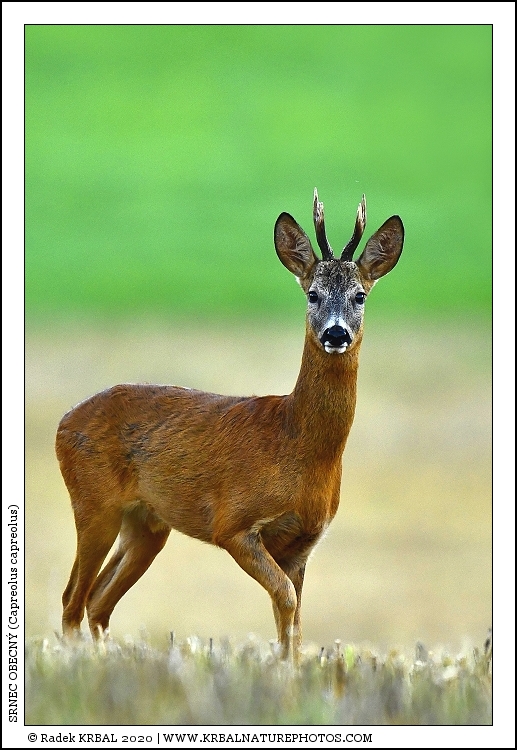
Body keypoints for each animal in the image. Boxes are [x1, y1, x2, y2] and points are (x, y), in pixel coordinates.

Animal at [56, 189, 404, 662]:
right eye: (313, 294)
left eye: (360, 296)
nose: (336, 334)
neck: (296, 444)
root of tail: (63, 422)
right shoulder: (234, 522)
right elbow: (286, 602)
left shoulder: (303, 544)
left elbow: (293, 621)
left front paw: (290, 670)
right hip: (94, 503)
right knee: (72, 599)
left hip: (147, 524)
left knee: (97, 600)